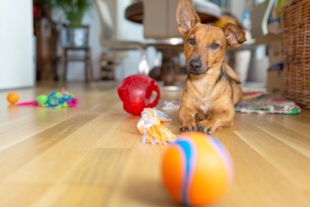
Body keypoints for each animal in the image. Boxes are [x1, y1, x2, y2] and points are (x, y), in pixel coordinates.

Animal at [177, 0, 247, 134]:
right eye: (191, 40)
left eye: (215, 45)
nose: (194, 64)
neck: (204, 83)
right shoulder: (184, 108)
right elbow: (187, 115)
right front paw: (188, 123)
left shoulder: (228, 113)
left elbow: (216, 116)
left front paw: (207, 123)